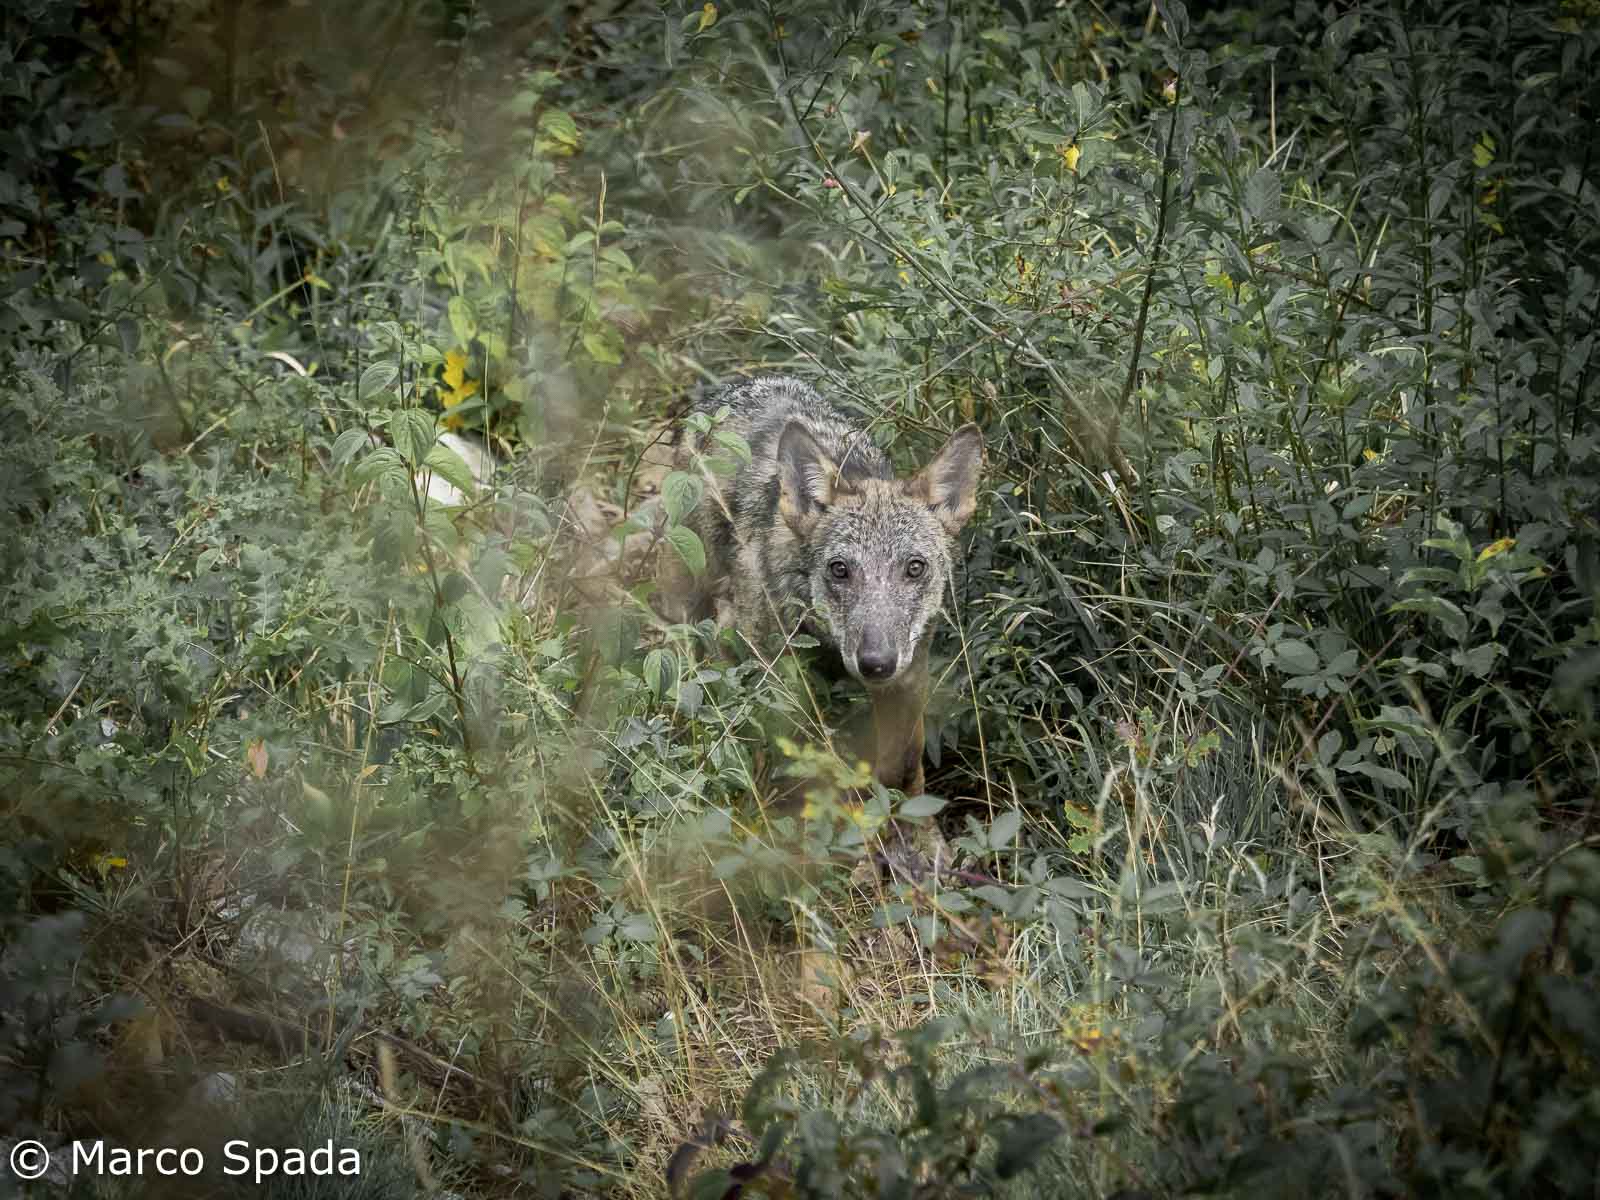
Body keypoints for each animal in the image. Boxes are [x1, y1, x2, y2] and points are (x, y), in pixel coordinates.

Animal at [656, 375, 983, 795]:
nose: (876, 663)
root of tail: (735, 386)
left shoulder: (908, 677)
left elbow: (904, 766)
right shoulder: (782, 681)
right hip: (698, 609)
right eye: (839, 569)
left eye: (914, 568)